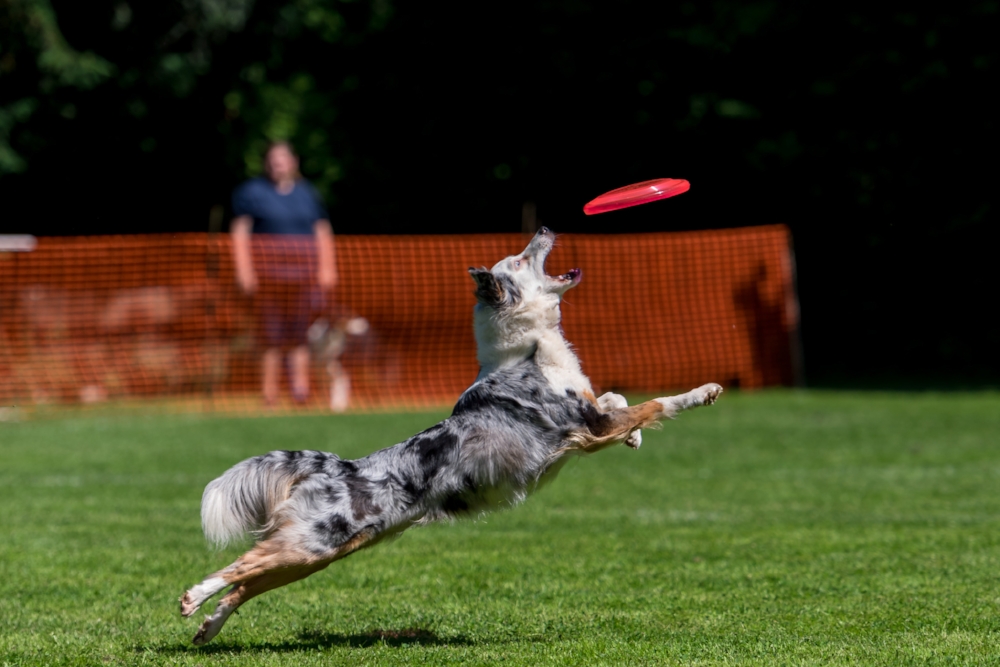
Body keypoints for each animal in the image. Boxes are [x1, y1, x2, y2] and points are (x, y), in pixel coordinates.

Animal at [180, 228, 724, 648]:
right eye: (521, 258)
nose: (545, 227)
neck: (527, 349)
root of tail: (340, 466)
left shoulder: (593, 418)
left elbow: (616, 397)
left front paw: (636, 440)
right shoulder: (588, 430)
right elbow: (656, 404)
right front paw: (702, 392)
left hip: (318, 551)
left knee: (248, 583)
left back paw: (208, 628)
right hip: (314, 542)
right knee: (239, 566)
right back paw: (192, 598)